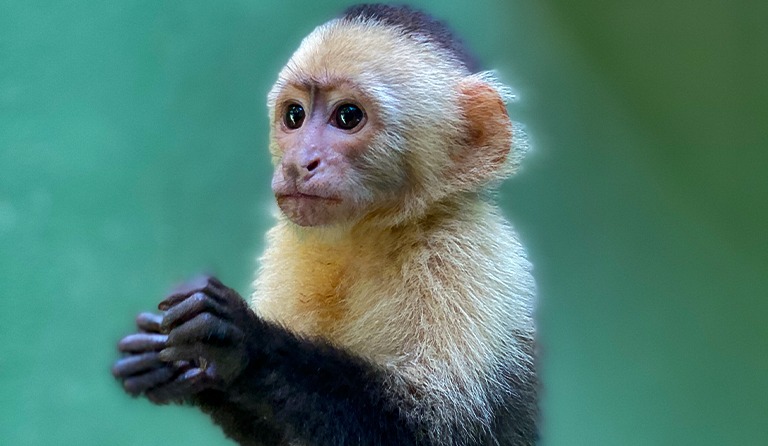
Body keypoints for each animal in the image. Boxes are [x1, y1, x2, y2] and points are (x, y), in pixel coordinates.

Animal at [112, 4, 537, 445]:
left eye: (348, 116)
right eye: (294, 115)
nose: (299, 162)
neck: (369, 234)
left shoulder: (464, 251)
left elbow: (432, 429)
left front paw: (243, 342)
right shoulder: (288, 249)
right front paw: (176, 361)